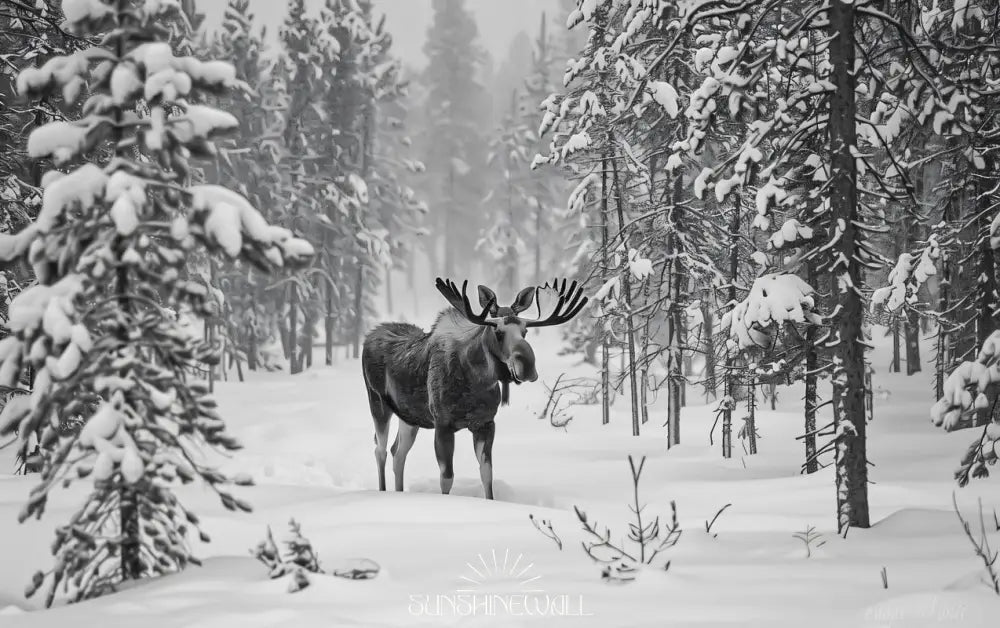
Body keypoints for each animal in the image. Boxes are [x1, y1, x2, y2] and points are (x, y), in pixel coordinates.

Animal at [364, 280, 584, 500]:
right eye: (498, 332)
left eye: (525, 332)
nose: (528, 366)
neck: (478, 381)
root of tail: (369, 335)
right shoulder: (443, 424)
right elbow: (447, 477)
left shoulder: (485, 424)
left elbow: (487, 473)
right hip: (378, 404)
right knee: (380, 450)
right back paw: (383, 491)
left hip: (410, 416)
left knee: (398, 452)